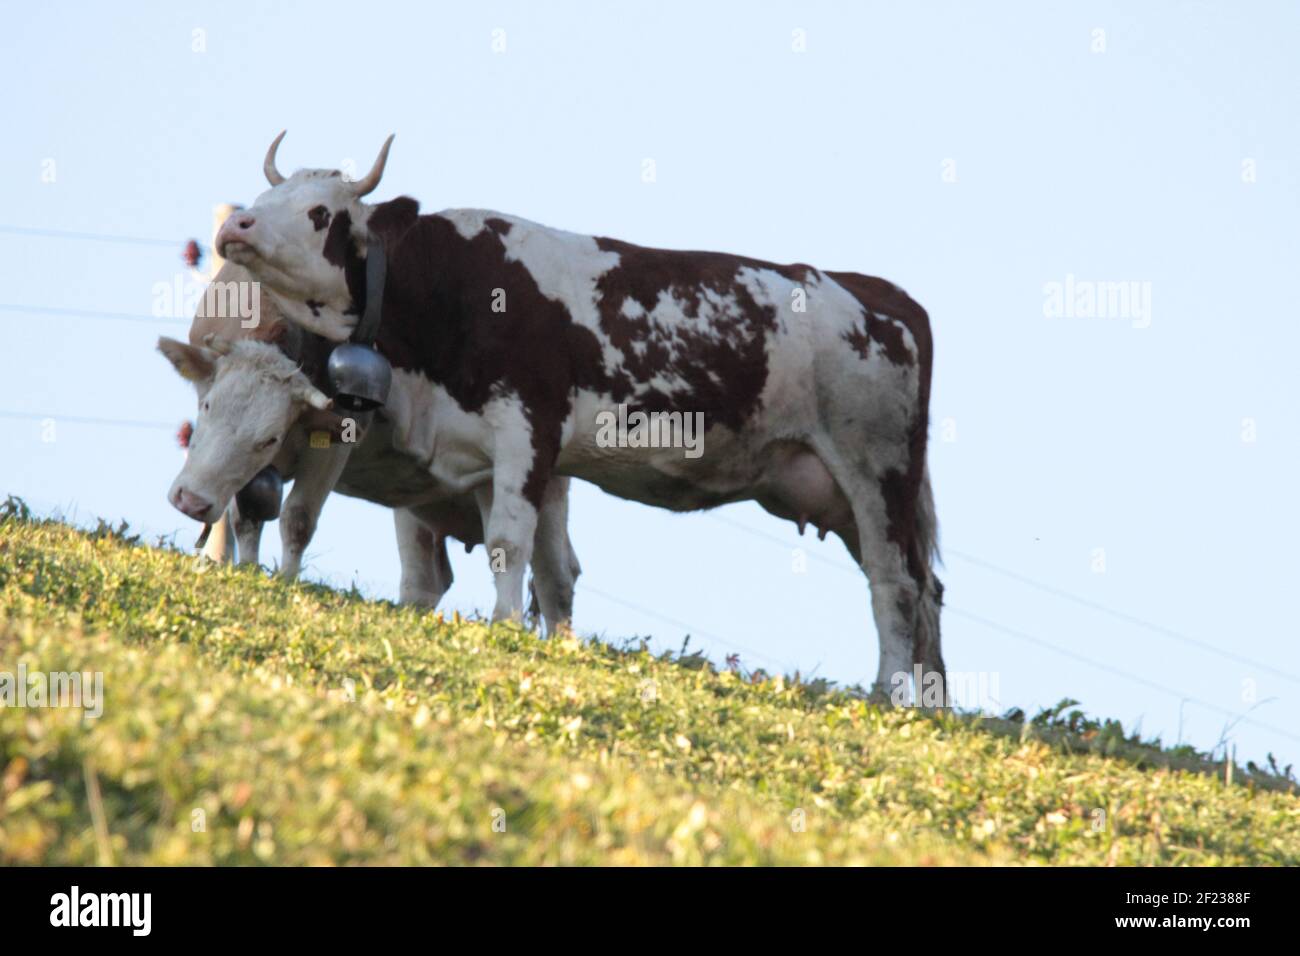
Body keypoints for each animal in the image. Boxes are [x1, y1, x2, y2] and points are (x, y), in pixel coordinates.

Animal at [165, 265, 582, 632]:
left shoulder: (335, 441)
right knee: (427, 579)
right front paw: (247, 570)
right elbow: (246, 515)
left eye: (269, 438)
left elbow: (298, 518)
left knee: (557, 577)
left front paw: (285, 580)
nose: (192, 502)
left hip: (537, 485)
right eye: (207, 406)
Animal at [213, 132, 946, 697]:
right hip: (837, 490)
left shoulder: (526, 428)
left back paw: (887, 696)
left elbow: (511, 544)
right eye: (264, 200)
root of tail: (878, 293)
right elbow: (540, 564)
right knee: (926, 588)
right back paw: (929, 705)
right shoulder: (488, 450)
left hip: (876, 470)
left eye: (319, 211)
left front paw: (504, 627)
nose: (235, 224)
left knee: (896, 585)